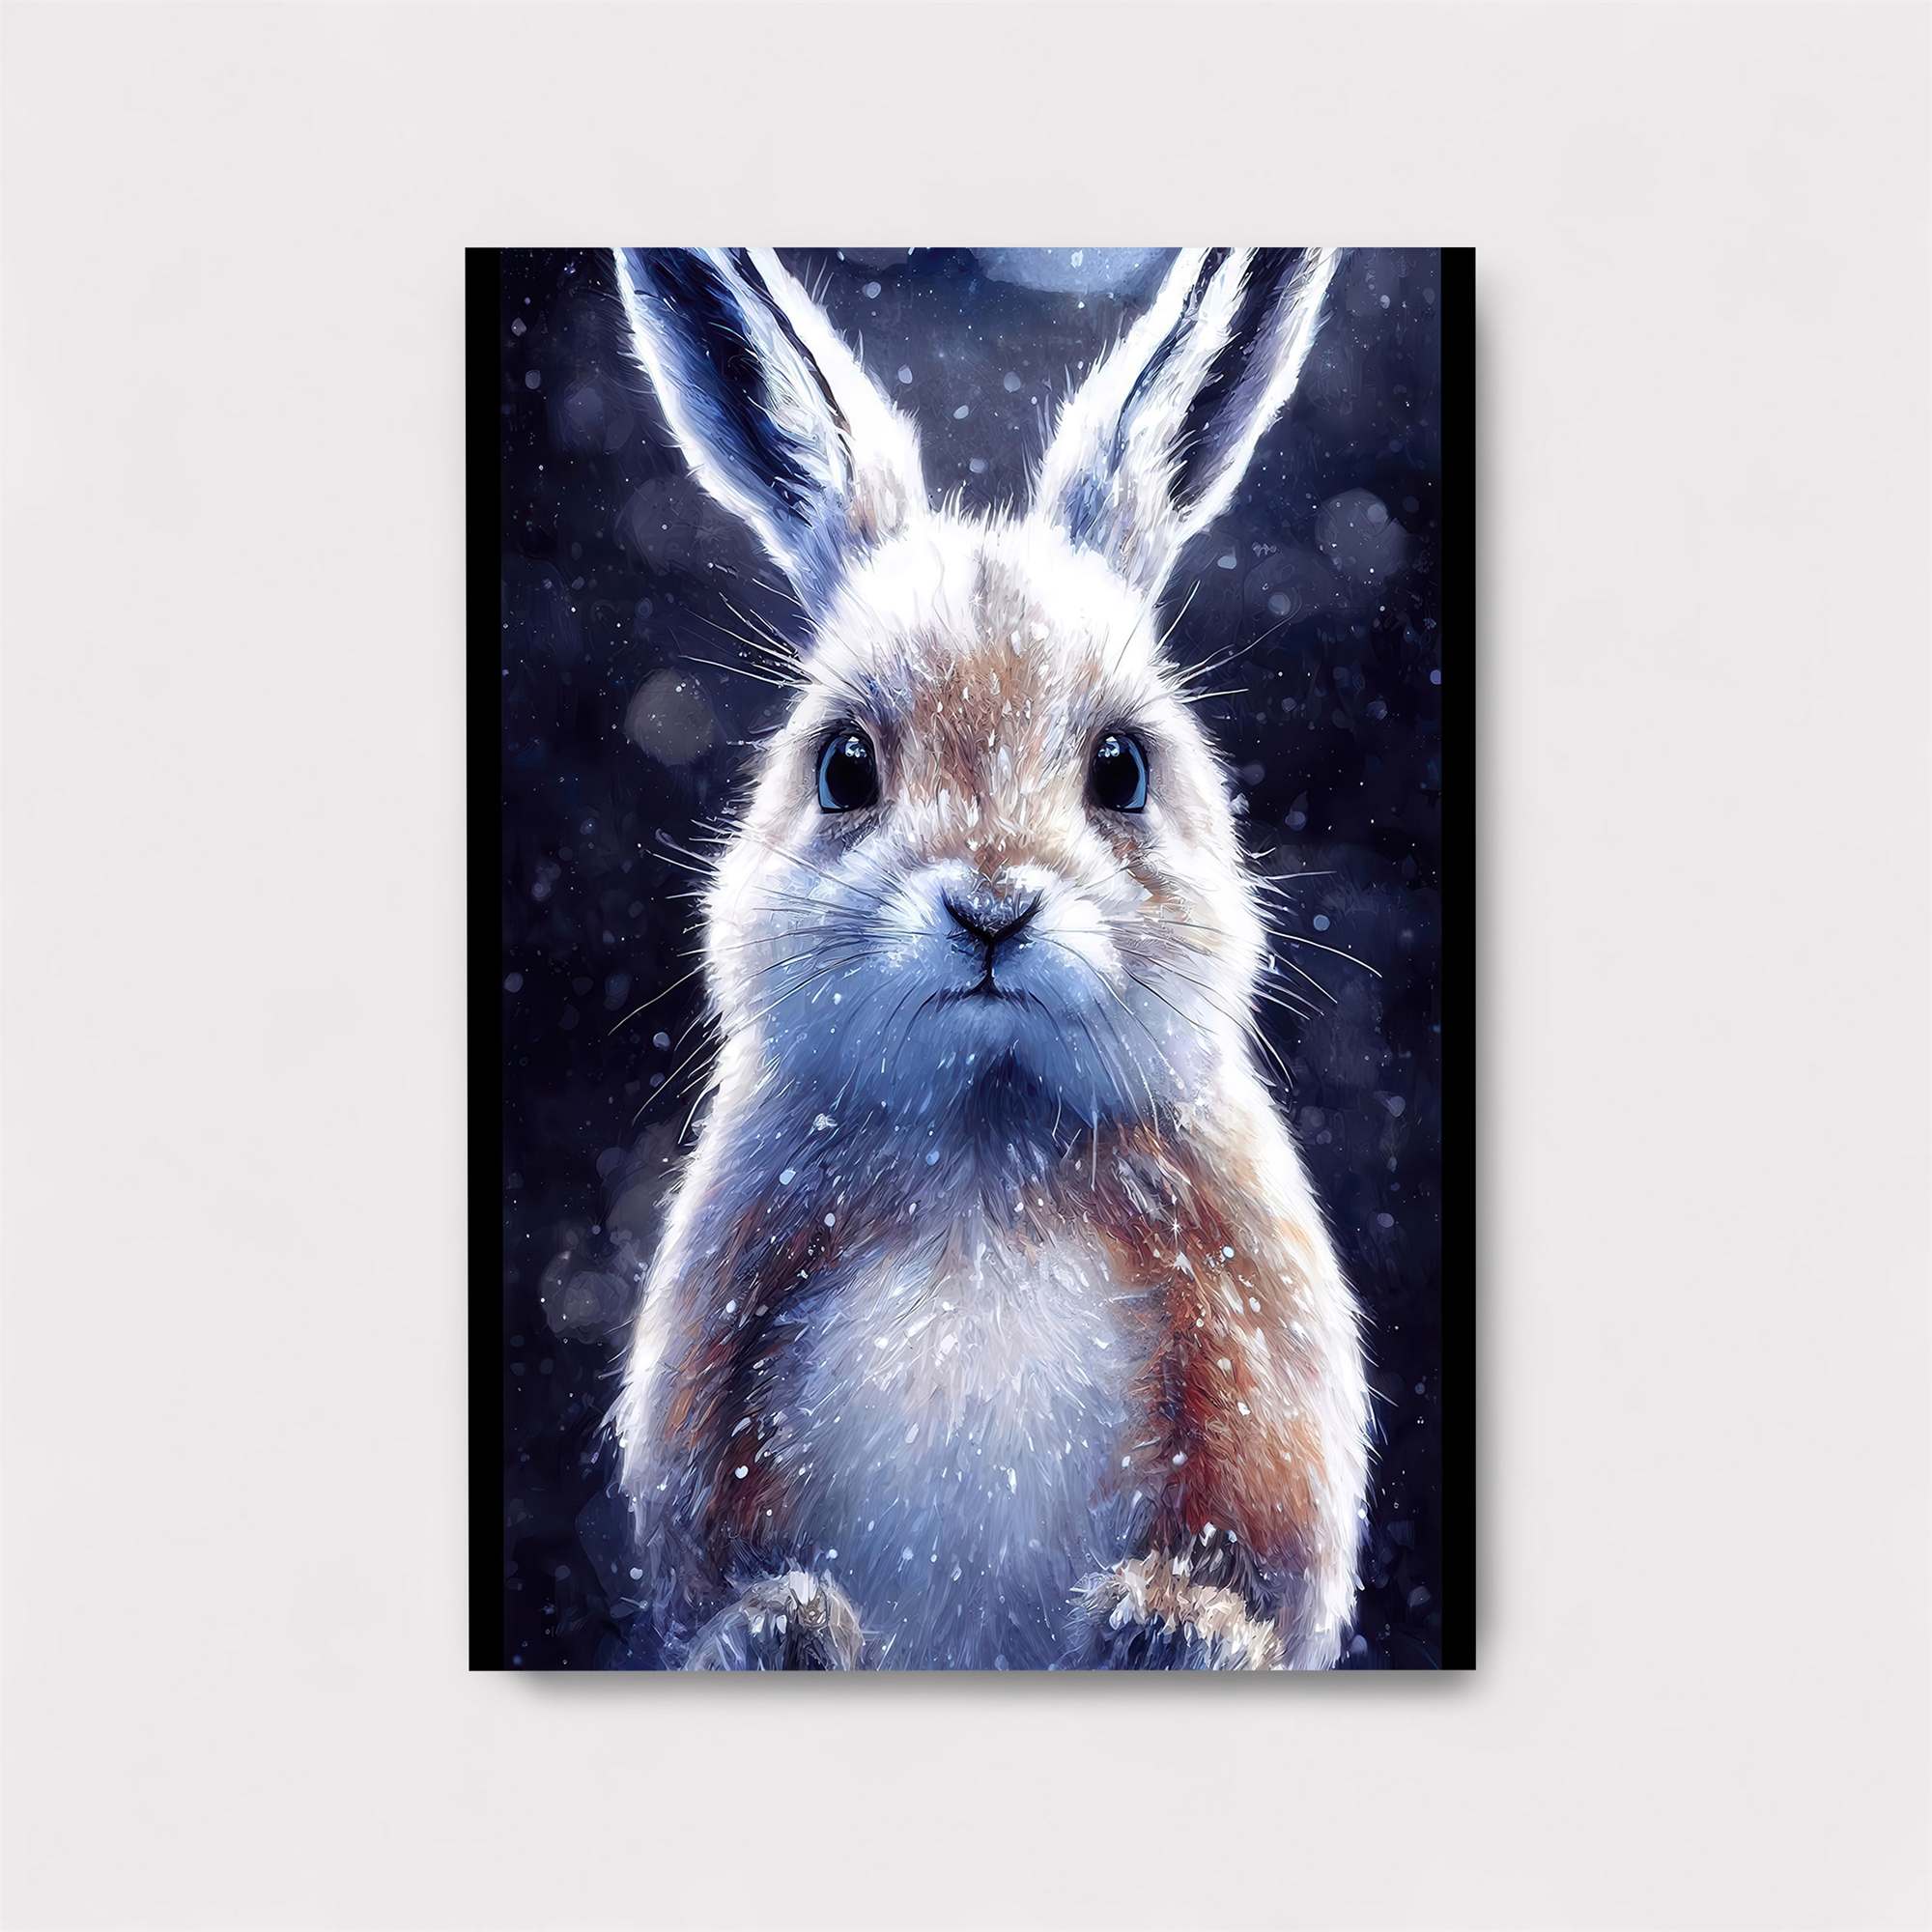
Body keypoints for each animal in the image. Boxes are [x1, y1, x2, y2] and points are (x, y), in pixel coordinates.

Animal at [606, 247, 1369, 1670]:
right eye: (846, 766)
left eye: (1121, 768)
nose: (992, 909)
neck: (984, 1121)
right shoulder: (717, 1329)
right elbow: (711, 1559)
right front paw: (780, 1628)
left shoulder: (1254, 1346)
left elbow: (1262, 1549)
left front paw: (1171, 1623)